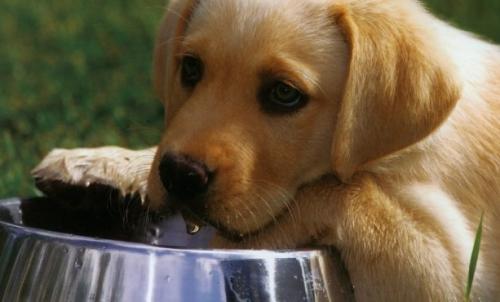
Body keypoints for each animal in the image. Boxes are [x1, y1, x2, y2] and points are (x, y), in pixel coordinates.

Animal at [33, 0, 498, 300]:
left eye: (284, 94)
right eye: (190, 69)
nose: (182, 174)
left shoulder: (451, 276)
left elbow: (347, 191)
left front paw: (245, 241)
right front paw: (105, 164)